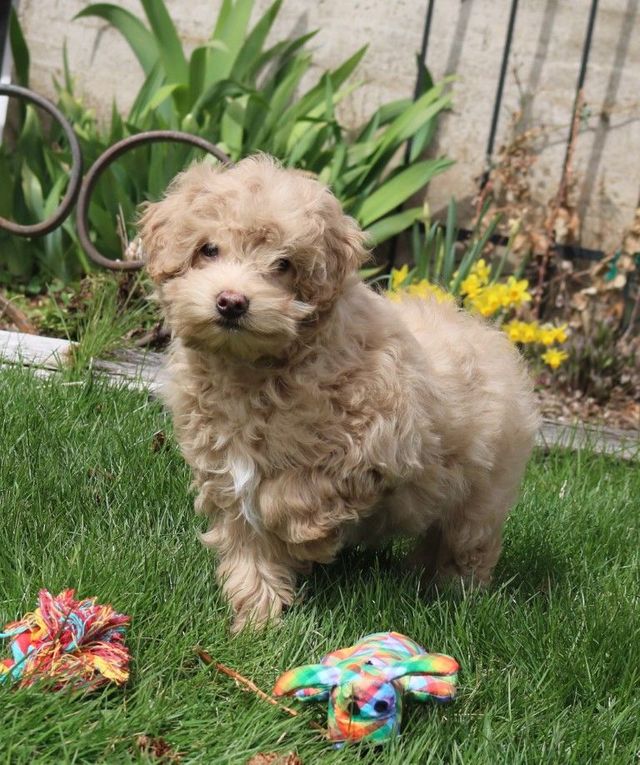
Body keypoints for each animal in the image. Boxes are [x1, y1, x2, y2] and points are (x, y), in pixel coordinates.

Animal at [141, 154, 540, 632]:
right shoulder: (225, 467)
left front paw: (304, 537)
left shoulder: (381, 437)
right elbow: (249, 539)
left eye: (283, 264)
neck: (254, 370)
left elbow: (297, 489)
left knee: (467, 541)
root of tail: (488, 335)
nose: (232, 302)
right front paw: (256, 617)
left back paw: (454, 592)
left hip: (483, 493)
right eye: (208, 249)